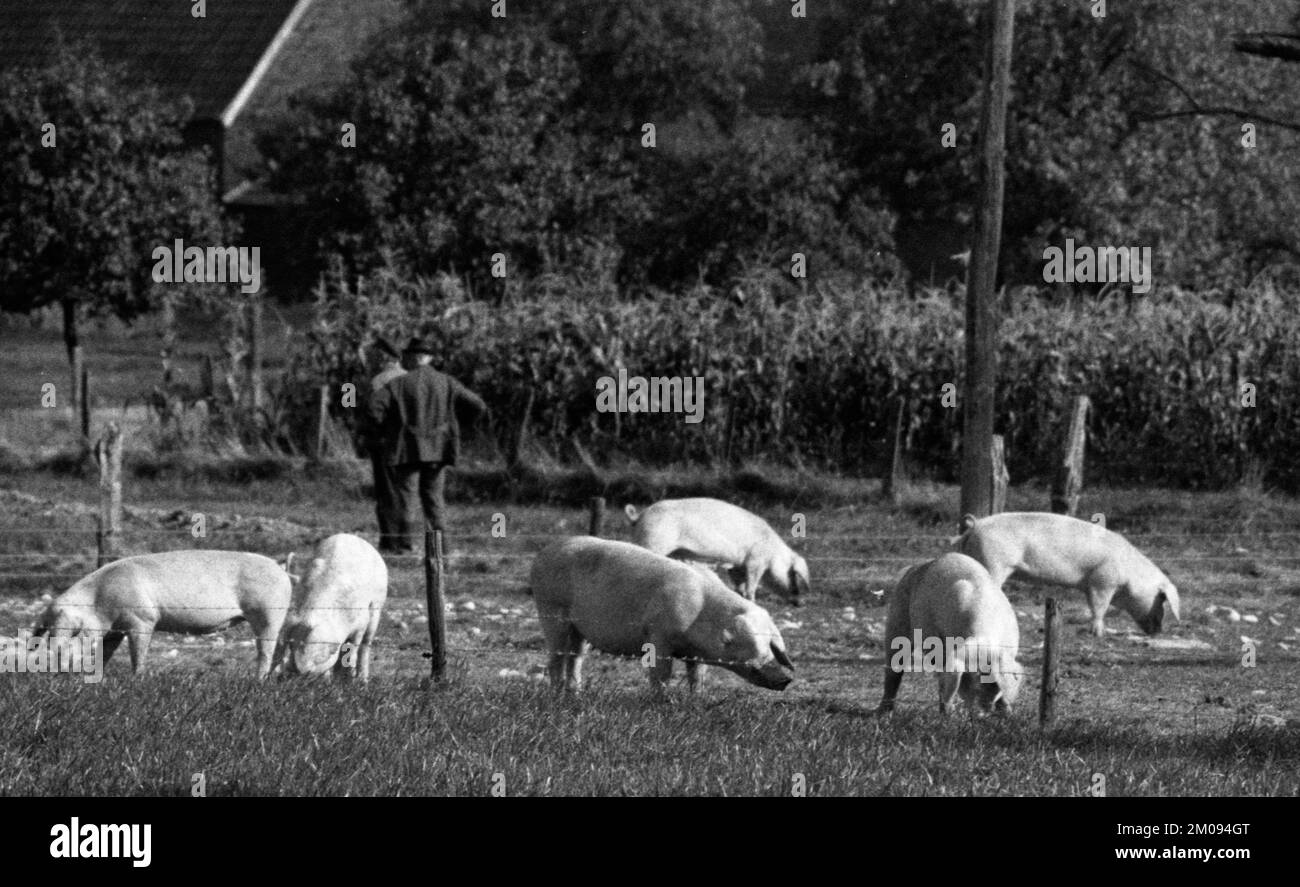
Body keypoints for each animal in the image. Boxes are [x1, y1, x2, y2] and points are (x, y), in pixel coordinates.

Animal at [31, 546, 291, 676]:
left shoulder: (142, 619)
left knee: (266, 651)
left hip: (268, 612)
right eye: (47, 629)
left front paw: (137, 680)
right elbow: (105, 654)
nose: (53, 663)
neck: (99, 599)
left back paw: (258, 681)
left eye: (70, 629)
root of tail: (279, 567)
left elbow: (138, 655)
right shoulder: (115, 630)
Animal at [525, 535, 790, 691]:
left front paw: (696, 700)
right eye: (756, 649)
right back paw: (556, 694)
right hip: (550, 610)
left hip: (579, 628)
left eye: (771, 645)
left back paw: (575, 694)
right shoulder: (659, 635)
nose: (786, 678)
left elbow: (697, 677)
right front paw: (662, 703)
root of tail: (544, 552)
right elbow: (662, 673)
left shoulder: (696, 654)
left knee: (575, 658)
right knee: (556, 657)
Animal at [624, 496, 806, 600]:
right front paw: (752, 600)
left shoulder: (737, 566)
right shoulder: (755, 561)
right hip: (653, 540)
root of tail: (639, 516)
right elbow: (751, 586)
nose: (799, 602)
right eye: (792, 573)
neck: (774, 553)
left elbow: (739, 586)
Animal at [873, 551, 1024, 712]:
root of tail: (917, 566)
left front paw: (1007, 713)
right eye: (966, 682)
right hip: (897, 620)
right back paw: (884, 712)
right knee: (894, 670)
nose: (981, 713)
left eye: (992, 684)